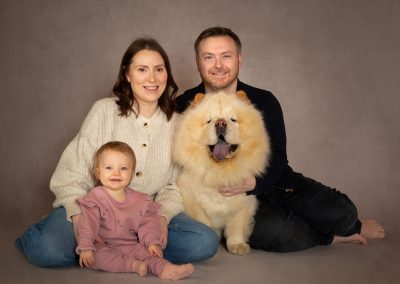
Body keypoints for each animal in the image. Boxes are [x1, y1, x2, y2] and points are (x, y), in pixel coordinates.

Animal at [174, 91, 270, 255]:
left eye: (233, 119)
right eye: (209, 121)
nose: (220, 123)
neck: (220, 172)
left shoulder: (242, 201)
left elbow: (236, 226)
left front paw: (237, 245)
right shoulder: (192, 199)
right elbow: (203, 222)